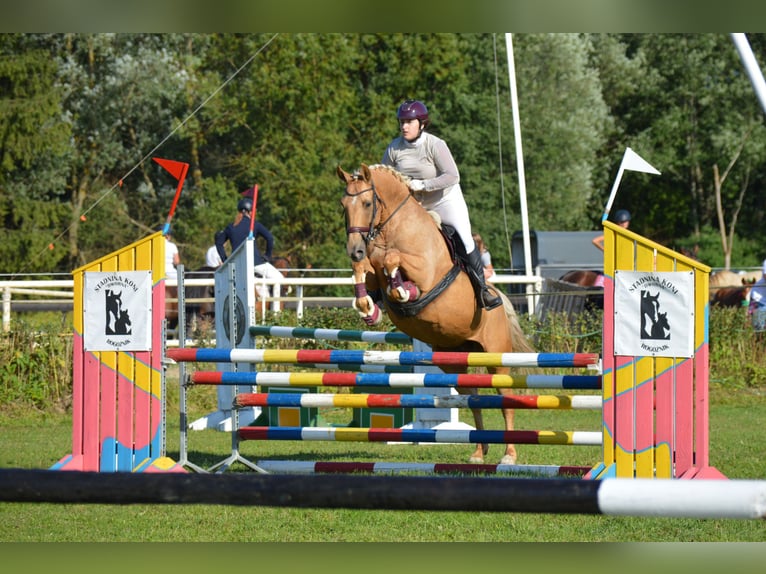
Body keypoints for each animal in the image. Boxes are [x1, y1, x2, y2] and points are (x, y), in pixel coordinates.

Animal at [340, 163, 536, 468]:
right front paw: (367, 305)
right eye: (343, 205)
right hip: (453, 360)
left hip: (496, 357)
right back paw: (479, 451)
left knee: (505, 400)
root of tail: (501, 300)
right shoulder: (371, 266)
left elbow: (392, 261)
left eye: (367, 203)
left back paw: (508, 455)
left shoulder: (424, 271)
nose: (354, 249)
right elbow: (368, 270)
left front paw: (401, 290)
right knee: (473, 398)